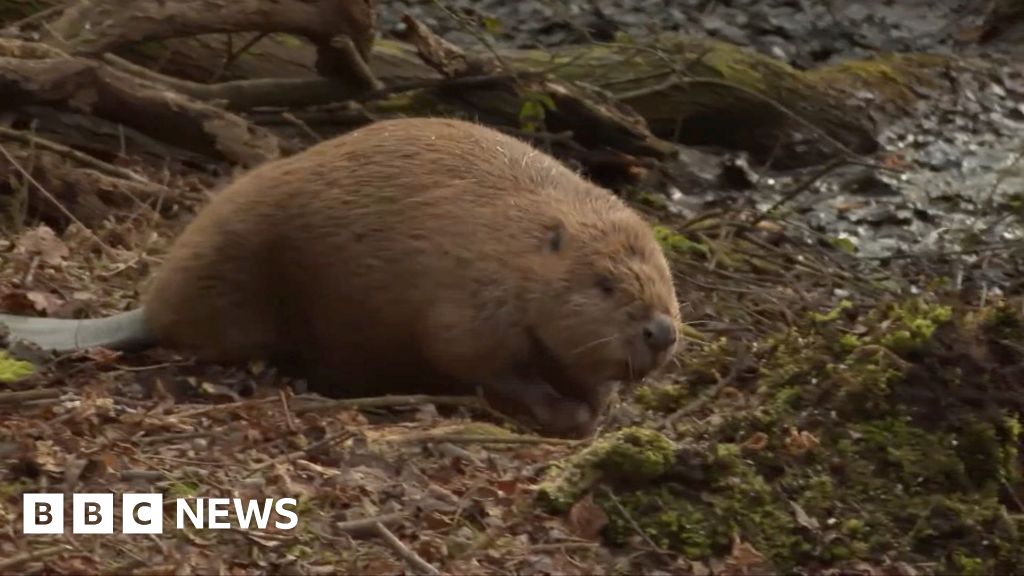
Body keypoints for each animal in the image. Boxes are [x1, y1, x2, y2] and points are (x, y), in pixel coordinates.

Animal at [6, 118, 688, 436]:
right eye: (604, 284)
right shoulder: (469, 301)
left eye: (664, 276)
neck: (518, 245)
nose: (661, 332)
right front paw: (565, 412)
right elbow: (475, 360)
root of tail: (147, 311)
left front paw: (595, 405)